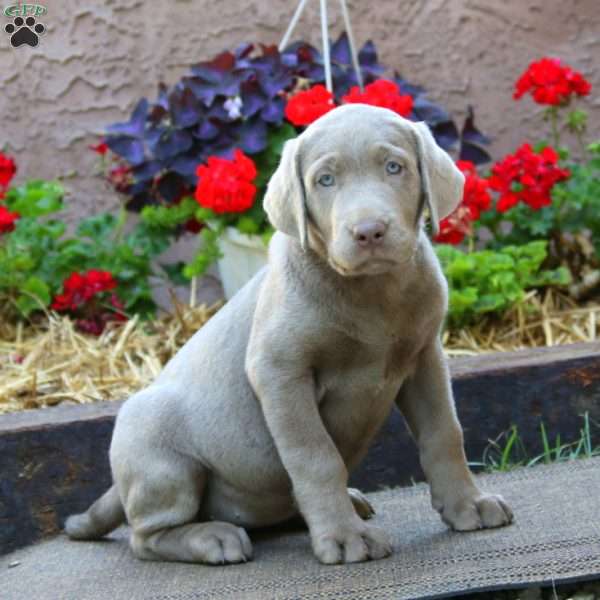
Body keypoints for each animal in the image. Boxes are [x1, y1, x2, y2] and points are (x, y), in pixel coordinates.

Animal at [68, 104, 512, 568]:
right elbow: (315, 456)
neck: (372, 292)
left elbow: (444, 432)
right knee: (146, 537)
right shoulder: (280, 373)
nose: (369, 231)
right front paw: (345, 538)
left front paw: (468, 505)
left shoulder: (425, 357)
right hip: (158, 452)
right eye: (325, 180)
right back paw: (213, 537)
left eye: (395, 167)